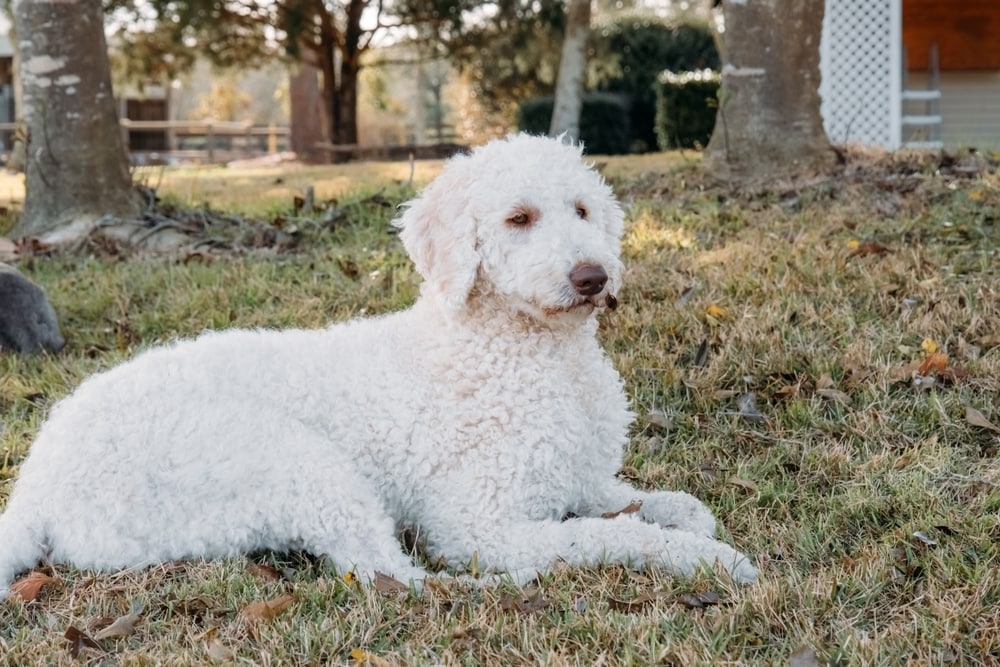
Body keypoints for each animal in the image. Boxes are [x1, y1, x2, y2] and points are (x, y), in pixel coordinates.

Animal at [0, 133, 752, 596]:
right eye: (518, 218)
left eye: (583, 209)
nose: (593, 276)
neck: (525, 350)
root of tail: (35, 488)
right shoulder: (479, 523)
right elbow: (609, 534)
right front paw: (708, 560)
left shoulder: (575, 477)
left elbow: (650, 503)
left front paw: (681, 516)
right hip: (294, 461)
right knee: (394, 575)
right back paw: (498, 588)